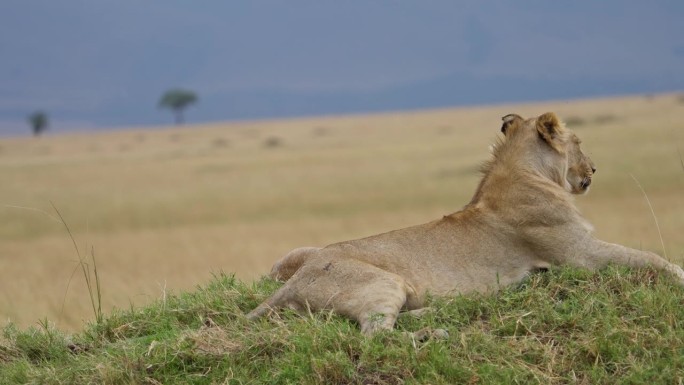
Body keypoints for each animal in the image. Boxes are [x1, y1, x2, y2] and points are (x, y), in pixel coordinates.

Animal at [248, 112, 684, 332]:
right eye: (577, 142)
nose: (594, 169)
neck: (530, 175)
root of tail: (292, 282)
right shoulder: (580, 255)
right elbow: (649, 258)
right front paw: (679, 275)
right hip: (382, 283)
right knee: (375, 337)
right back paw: (433, 331)